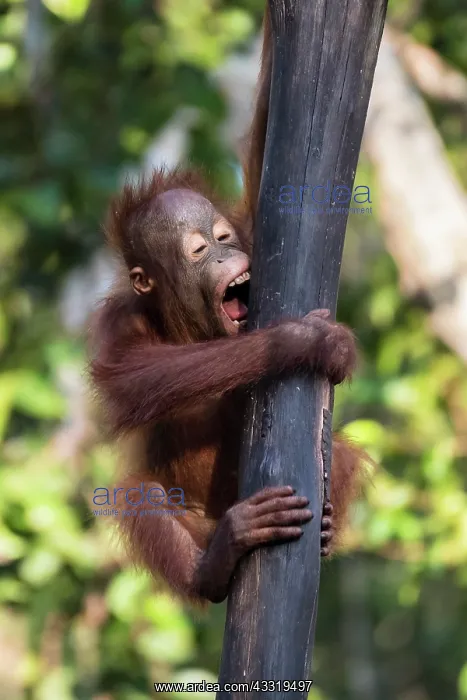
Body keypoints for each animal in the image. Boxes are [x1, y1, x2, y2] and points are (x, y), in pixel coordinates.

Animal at [89, 5, 364, 604]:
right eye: (198, 250)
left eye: (222, 237)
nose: (221, 255)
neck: (194, 326)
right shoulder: (118, 322)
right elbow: (128, 378)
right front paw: (301, 340)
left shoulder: (255, 236)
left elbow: (265, 156)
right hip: (199, 521)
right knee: (137, 493)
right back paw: (215, 561)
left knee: (344, 452)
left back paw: (325, 527)